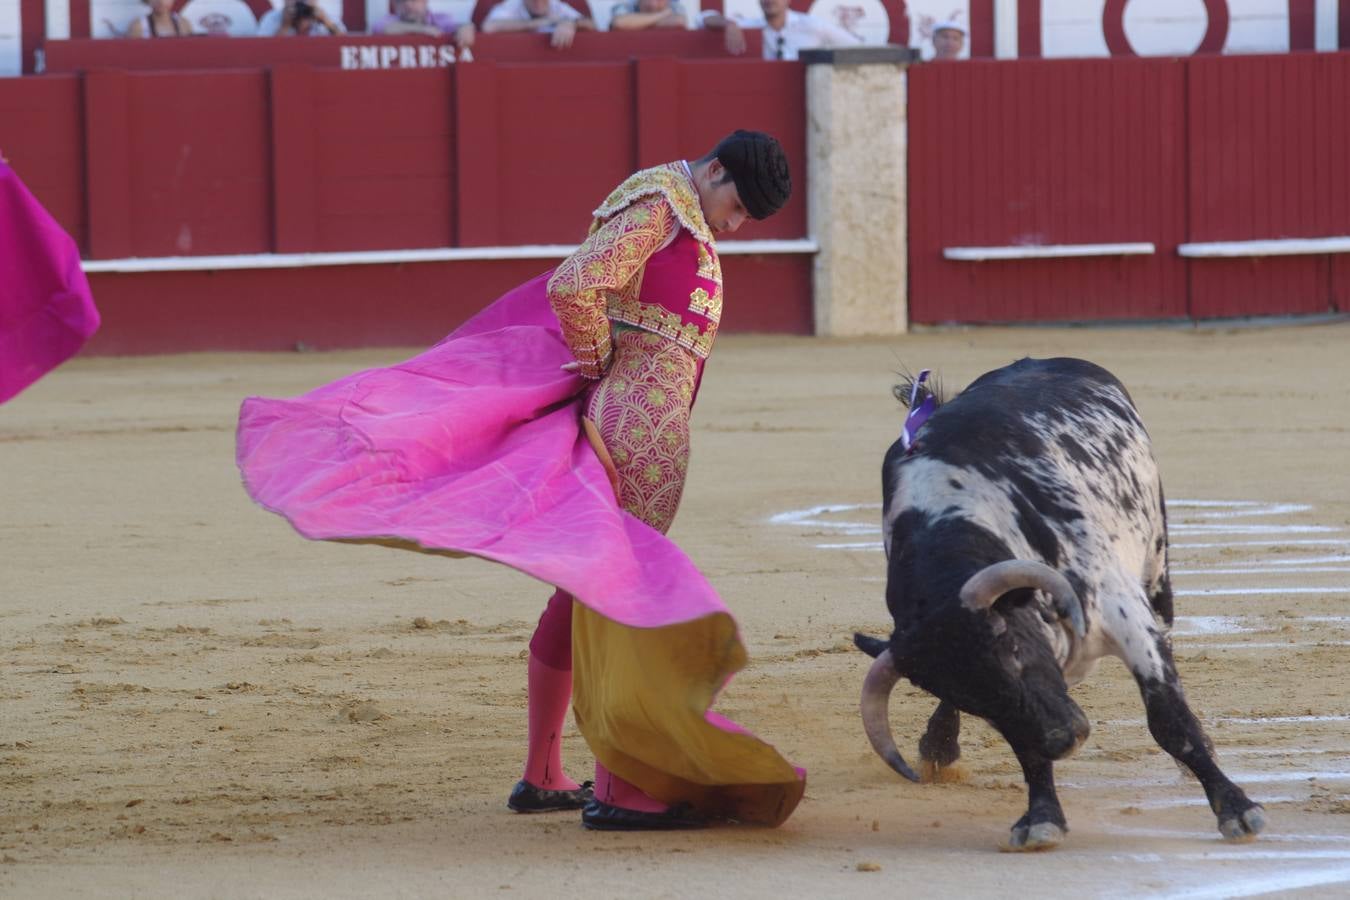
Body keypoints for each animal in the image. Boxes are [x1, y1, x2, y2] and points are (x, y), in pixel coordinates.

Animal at [853, 356, 1263, 852]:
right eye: (968, 698)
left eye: (1013, 649)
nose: (1065, 740)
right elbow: (1024, 746)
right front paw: (1042, 816)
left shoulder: (1125, 616)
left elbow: (1169, 718)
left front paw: (1236, 808)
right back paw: (939, 747)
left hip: (1157, 569)